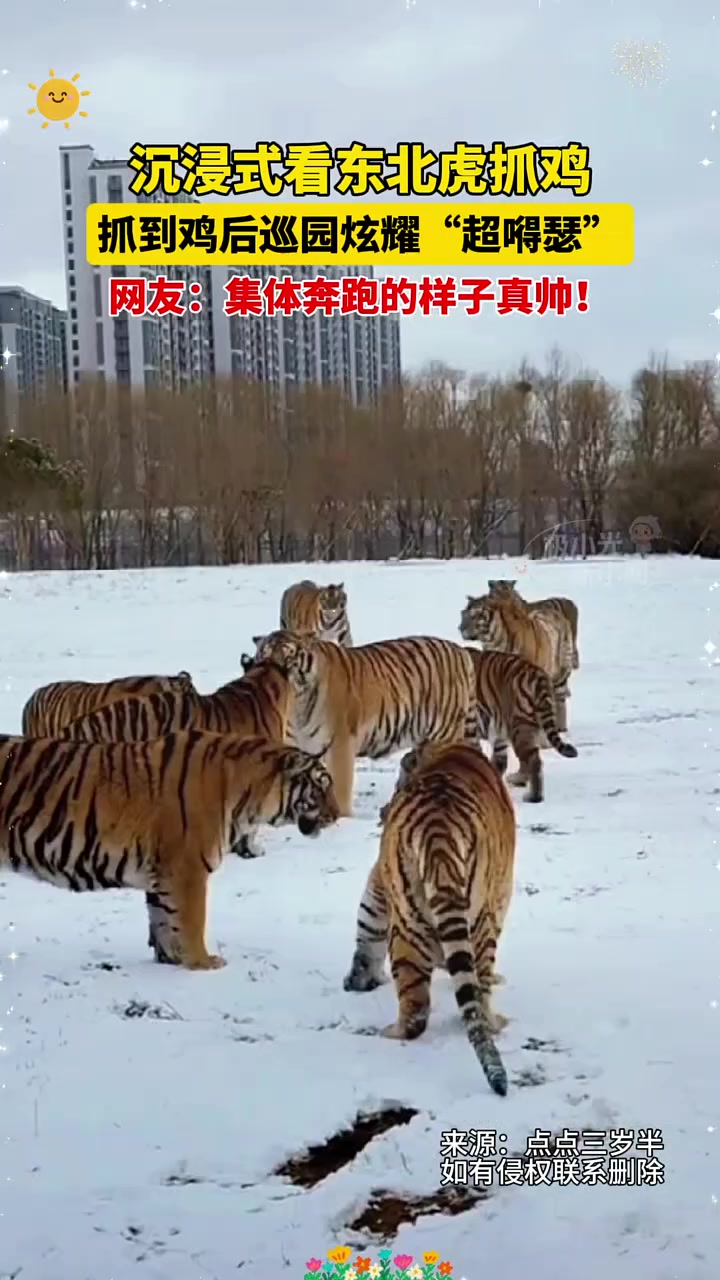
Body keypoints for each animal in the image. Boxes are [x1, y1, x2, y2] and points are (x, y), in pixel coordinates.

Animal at [0, 731, 339, 970]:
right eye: (321, 786)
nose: (337, 815)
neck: (248, 799)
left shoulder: (161, 874)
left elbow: (164, 921)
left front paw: (172, 962)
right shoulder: (187, 869)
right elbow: (192, 920)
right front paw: (203, 963)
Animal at [251, 630, 479, 817]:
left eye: (288, 655)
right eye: (265, 653)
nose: (272, 671)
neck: (296, 703)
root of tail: (460, 651)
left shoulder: (340, 743)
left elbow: (340, 785)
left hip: (444, 734)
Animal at [459, 591, 574, 732]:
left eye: (476, 614)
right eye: (463, 613)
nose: (460, 628)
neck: (494, 640)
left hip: (560, 675)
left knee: (560, 702)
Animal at [465, 649, 577, 802]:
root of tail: (536, 673)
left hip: (519, 727)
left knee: (533, 762)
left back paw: (533, 797)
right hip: (509, 728)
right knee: (505, 762)